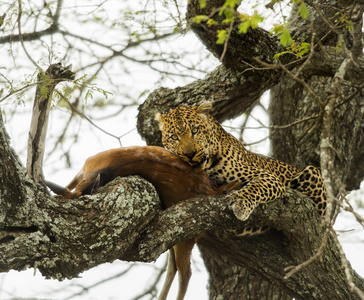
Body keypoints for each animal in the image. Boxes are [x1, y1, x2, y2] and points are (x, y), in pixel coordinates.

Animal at [155, 101, 328, 220]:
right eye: (174, 137)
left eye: (195, 130)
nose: (190, 154)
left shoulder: (269, 177)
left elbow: (256, 187)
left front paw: (240, 203)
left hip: (312, 173)